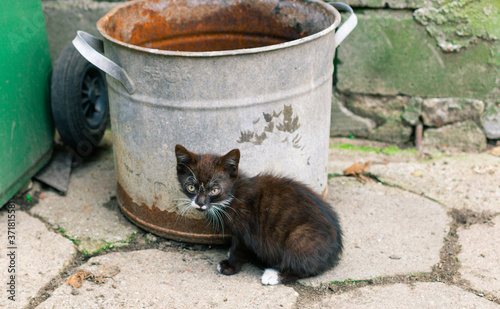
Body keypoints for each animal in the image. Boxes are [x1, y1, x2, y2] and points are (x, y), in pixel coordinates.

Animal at [174, 144, 342, 284]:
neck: (232, 194)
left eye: (214, 190)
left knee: (306, 267)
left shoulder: (247, 231)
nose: (200, 203)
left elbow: (239, 249)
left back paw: (274, 275)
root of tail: (335, 251)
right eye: (191, 187)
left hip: (299, 236)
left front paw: (230, 265)